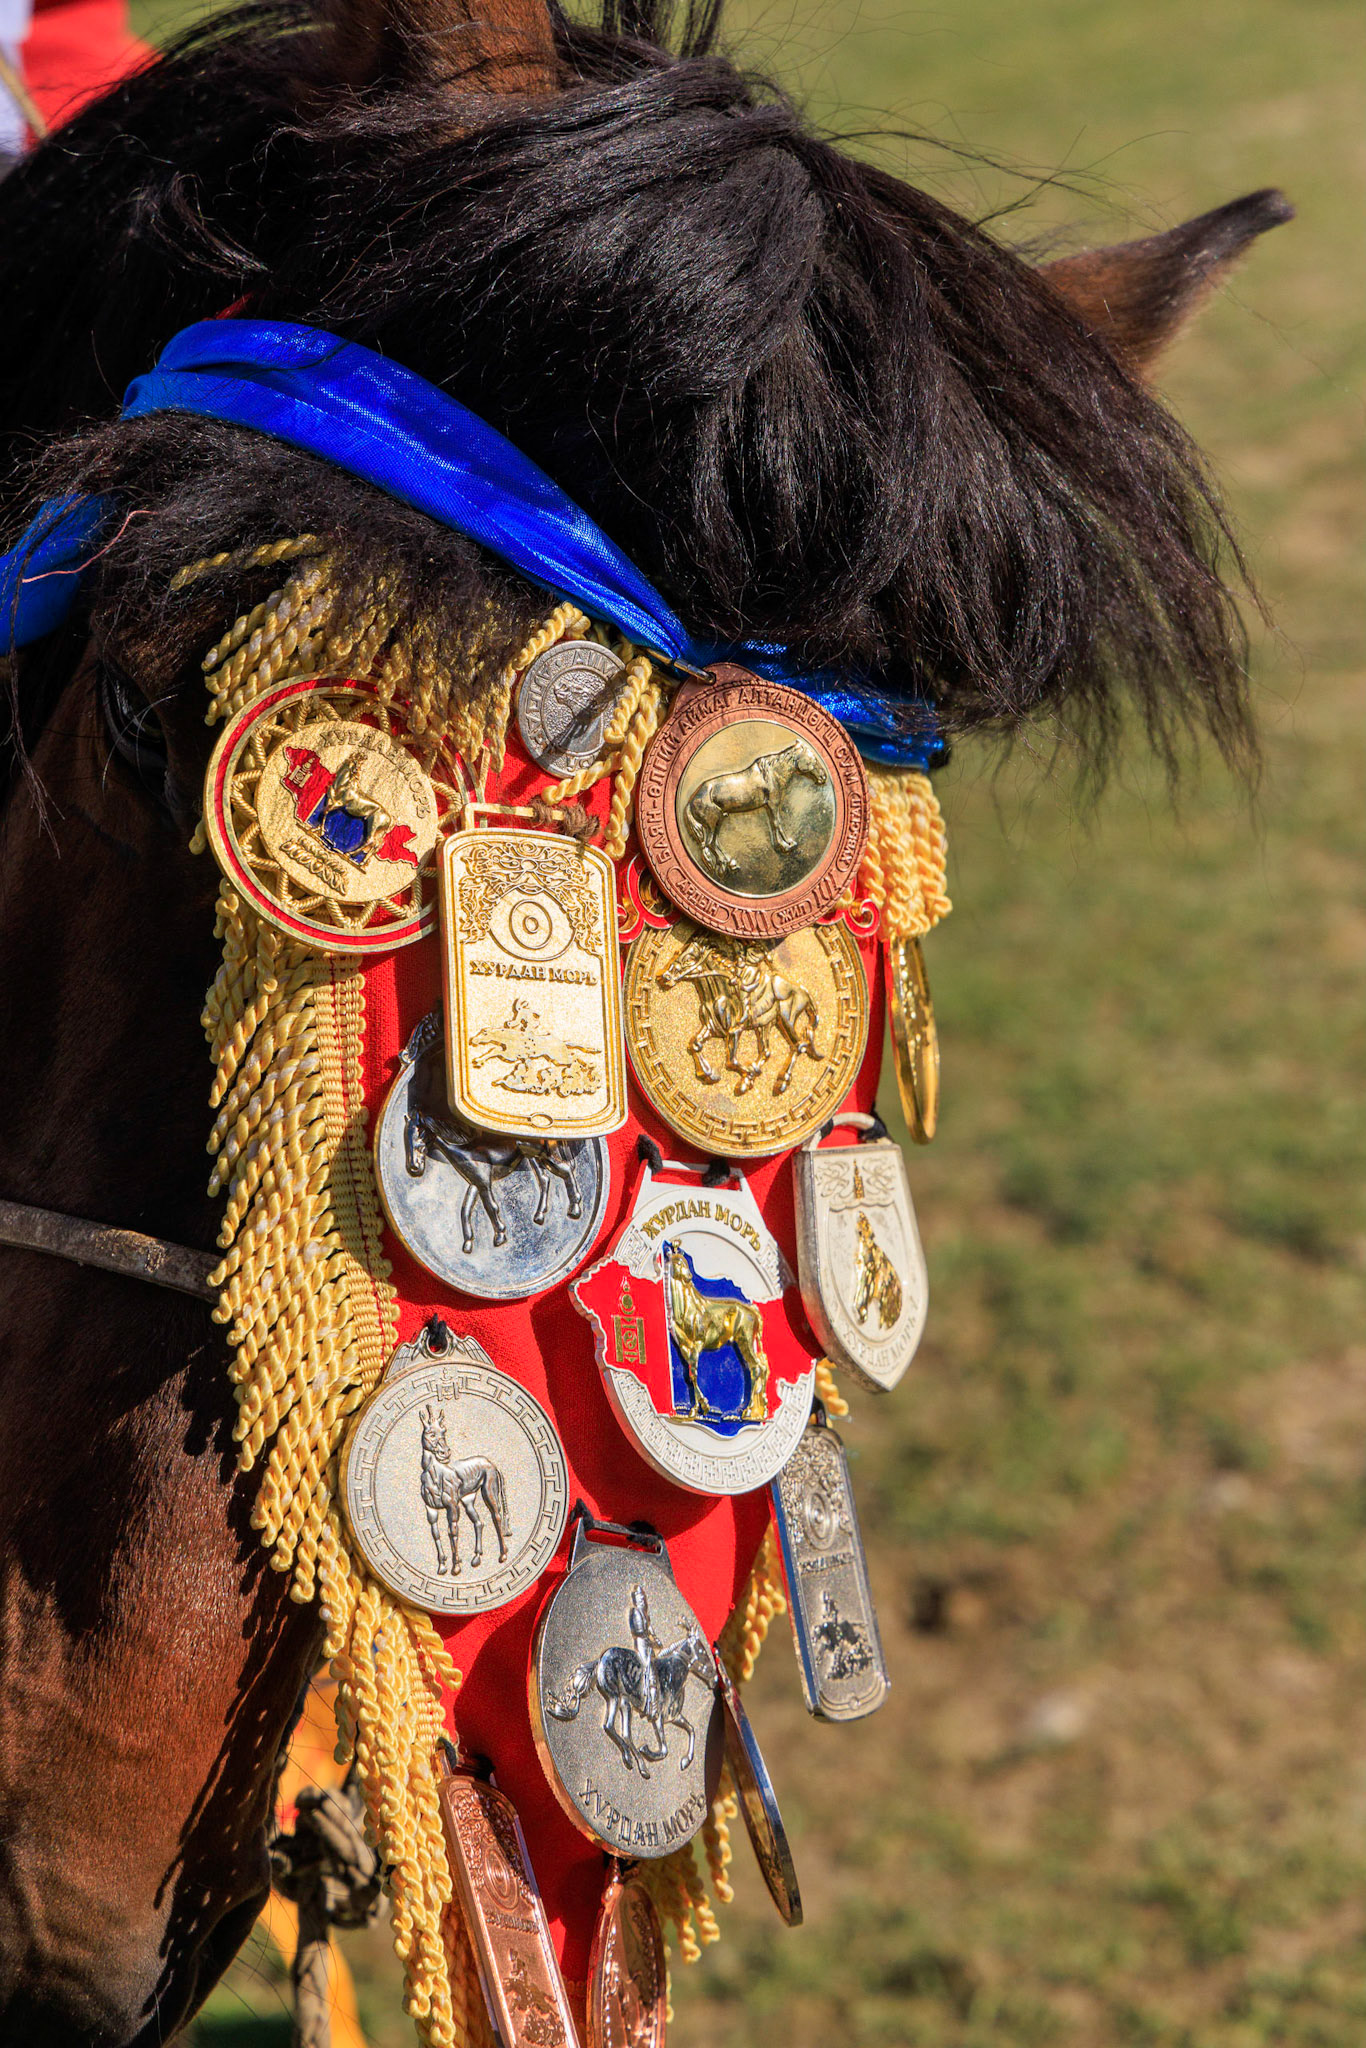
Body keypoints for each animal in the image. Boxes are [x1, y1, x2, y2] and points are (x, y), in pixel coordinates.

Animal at [417, 1405, 510, 1577]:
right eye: (431, 1433)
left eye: (444, 1431)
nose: (445, 1453)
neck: (434, 1475)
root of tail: (492, 1464)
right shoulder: (431, 1508)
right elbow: (436, 1533)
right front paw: (442, 1566)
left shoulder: (452, 1506)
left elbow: (452, 1531)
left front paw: (456, 1567)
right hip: (468, 1499)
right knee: (479, 1522)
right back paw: (477, 1557)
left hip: (489, 1492)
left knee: (496, 1517)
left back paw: (503, 1555)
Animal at [658, 930, 823, 1094]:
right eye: (677, 952)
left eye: (689, 959)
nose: (665, 977)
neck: (720, 993)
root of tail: (803, 990)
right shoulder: (712, 1026)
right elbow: (695, 1044)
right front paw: (709, 1074)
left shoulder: (735, 1030)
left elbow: (731, 1061)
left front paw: (748, 1073)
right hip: (765, 1024)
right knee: (766, 1051)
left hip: (786, 1019)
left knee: (799, 1045)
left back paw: (782, 1082)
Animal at [663, 1241, 770, 1423]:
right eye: (677, 1262)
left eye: (685, 1262)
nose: (689, 1277)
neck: (685, 1310)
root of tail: (754, 1311)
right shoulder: (684, 1347)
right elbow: (690, 1375)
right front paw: (694, 1410)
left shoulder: (697, 1343)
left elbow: (694, 1373)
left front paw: (703, 1407)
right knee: (760, 1367)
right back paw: (758, 1412)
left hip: (745, 1340)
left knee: (757, 1368)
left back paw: (749, 1412)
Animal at [682, 737, 827, 878]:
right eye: (813, 759)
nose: (823, 777)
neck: (773, 773)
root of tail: (691, 801)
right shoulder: (773, 803)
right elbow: (777, 823)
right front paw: (787, 845)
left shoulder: (769, 806)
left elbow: (773, 823)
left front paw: (782, 844)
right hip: (713, 822)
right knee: (709, 843)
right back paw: (725, 865)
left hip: (716, 822)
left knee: (714, 842)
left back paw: (730, 864)